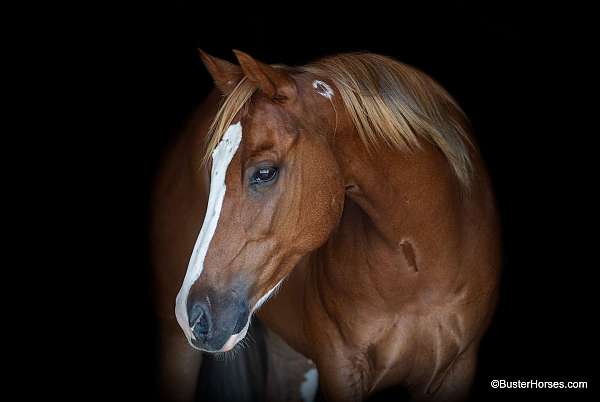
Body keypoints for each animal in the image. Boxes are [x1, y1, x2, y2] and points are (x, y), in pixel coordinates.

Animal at [152, 48, 500, 400]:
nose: (194, 313)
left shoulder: (455, 370)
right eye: (211, 169)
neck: (419, 274)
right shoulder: (341, 368)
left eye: (265, 172)